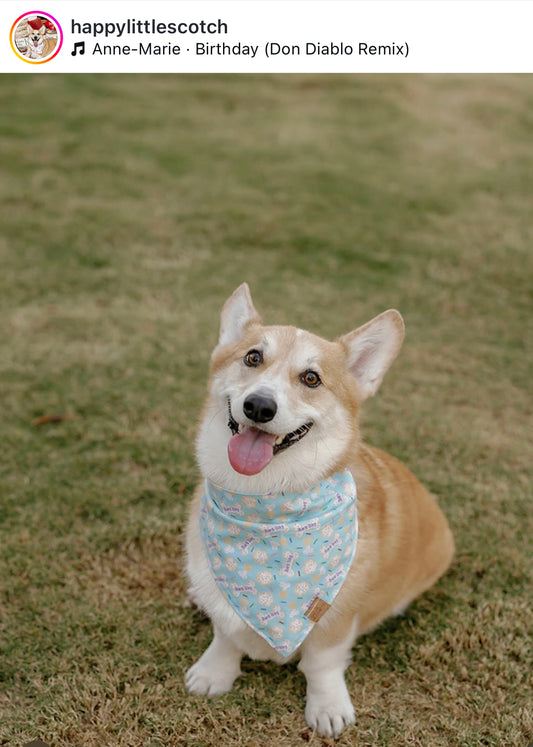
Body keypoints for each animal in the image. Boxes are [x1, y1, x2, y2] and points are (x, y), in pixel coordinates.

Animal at [184, 284, 454, 740]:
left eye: (311, 378)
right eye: (252, 357)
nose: (259, 406)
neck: (265, 503)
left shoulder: (335, 618)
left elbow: (321, 663)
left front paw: (327, 708)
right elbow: (225, 634)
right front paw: (213, 673)